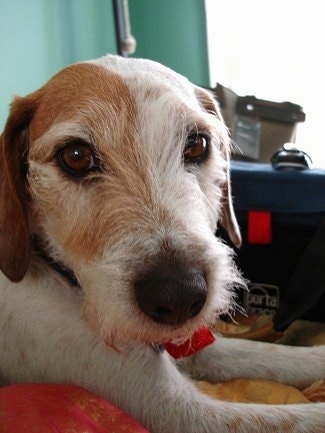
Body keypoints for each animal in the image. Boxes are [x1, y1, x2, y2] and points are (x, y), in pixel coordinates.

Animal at [0, 54, 322, 432]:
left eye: (197, 144)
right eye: (75, 155)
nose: (179, 295)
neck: (63, 276)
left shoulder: (196, 343)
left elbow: (267, 353)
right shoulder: (173, 407)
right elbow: (299, 419)